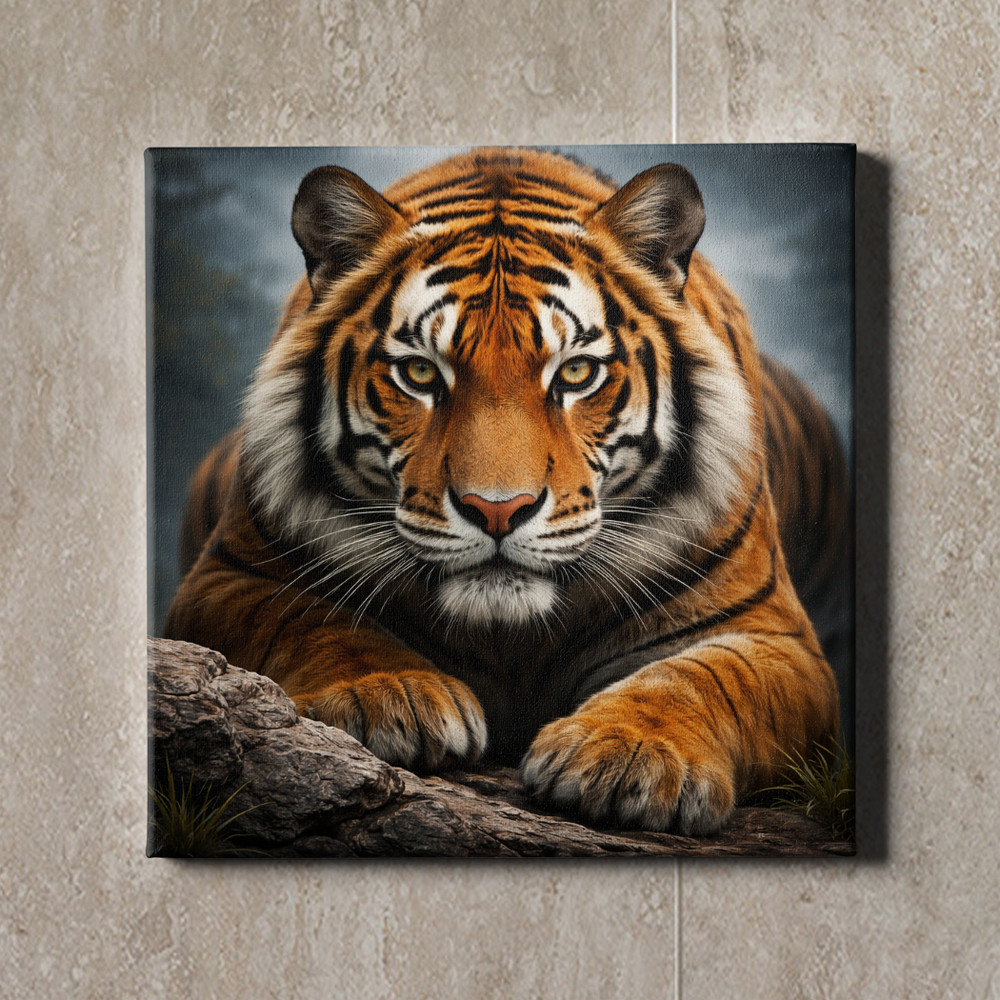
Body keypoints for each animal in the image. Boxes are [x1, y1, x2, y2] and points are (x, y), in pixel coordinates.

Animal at [164, 147, 848, 836]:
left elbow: (707, 679)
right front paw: (388, 695)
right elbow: (311, 620)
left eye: (577, 372)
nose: (498, 510)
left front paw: (629, 754)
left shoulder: (780, 640)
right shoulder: (227, 578)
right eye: (420, 373)